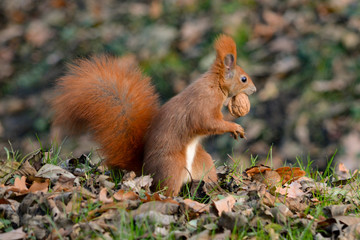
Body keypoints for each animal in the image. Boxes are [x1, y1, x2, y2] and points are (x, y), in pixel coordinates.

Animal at [52, 34, 256, 196]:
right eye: (243, 79)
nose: (254, 89)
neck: (215, 85)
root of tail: (145, 171)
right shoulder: (203, 105)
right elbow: (209, 123)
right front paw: (234, 127)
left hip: (203, 163)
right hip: (172, 167)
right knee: (166, 190)